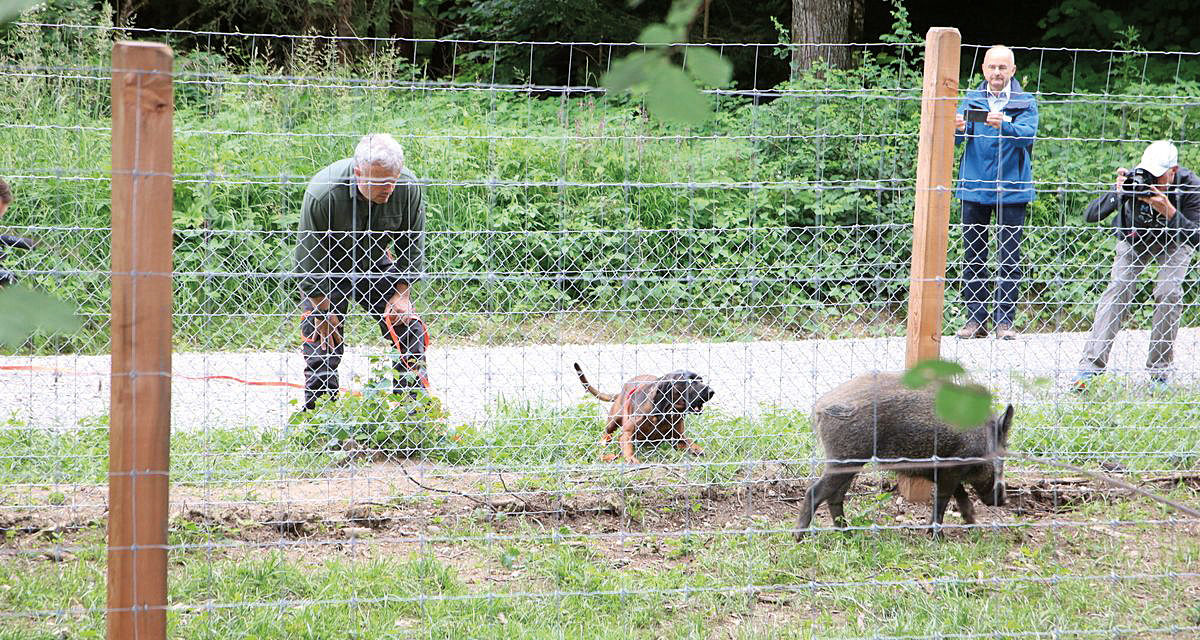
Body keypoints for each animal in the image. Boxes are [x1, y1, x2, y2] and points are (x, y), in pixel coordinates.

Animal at [571, 362, 710, 461]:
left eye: (701, 380)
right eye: (689, 382)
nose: (711, 391)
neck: (665, 412)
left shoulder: (678, 437)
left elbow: (689, 443)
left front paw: (698, 450)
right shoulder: (627, 433)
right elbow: (627, 446)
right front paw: (631, 459)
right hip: (613, 421)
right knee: (606, 436)